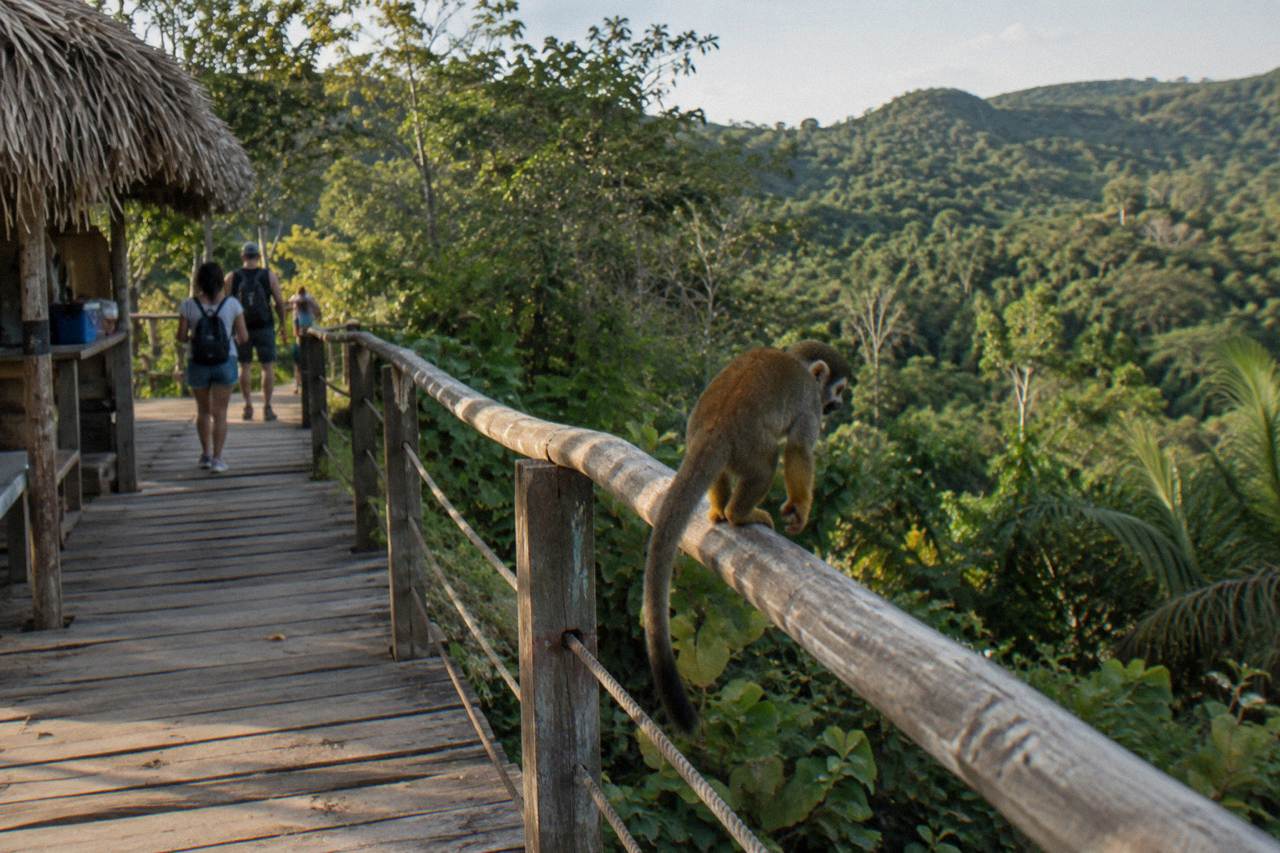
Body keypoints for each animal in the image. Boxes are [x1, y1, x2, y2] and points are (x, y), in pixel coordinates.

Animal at [643, 340, 851, 732]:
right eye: (839, 389)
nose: (840, 403)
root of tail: (713, 426)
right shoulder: (809, 404)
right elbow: (799, 449)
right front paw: (799, 508)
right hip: (748, 444)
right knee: (767, 462)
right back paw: (740, 514)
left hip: (704, 438)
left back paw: (718, 511)